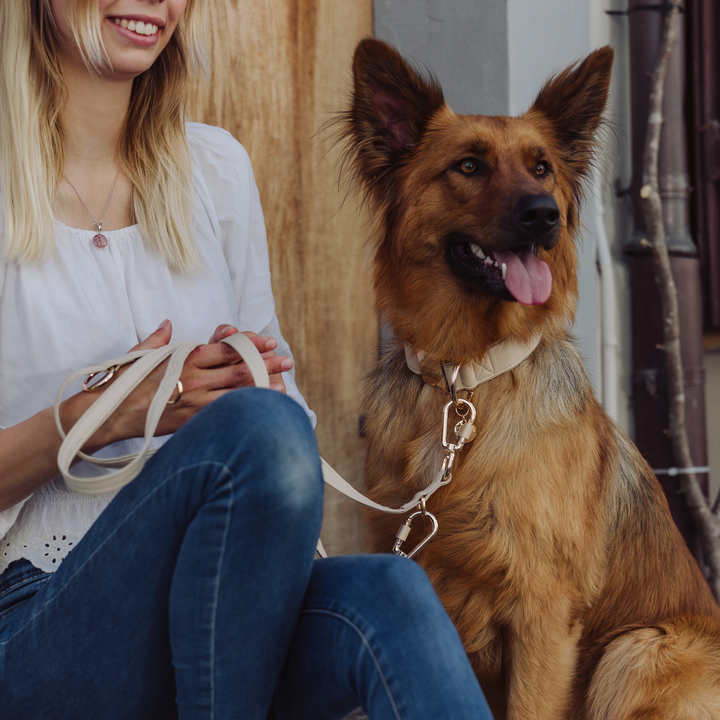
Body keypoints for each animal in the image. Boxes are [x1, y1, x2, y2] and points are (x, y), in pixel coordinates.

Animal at [342, 39, 720, 720]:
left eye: (542, 169)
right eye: (468, 166)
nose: (545, 216)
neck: (463, 381)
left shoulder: (543, 616)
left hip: (634, 651)